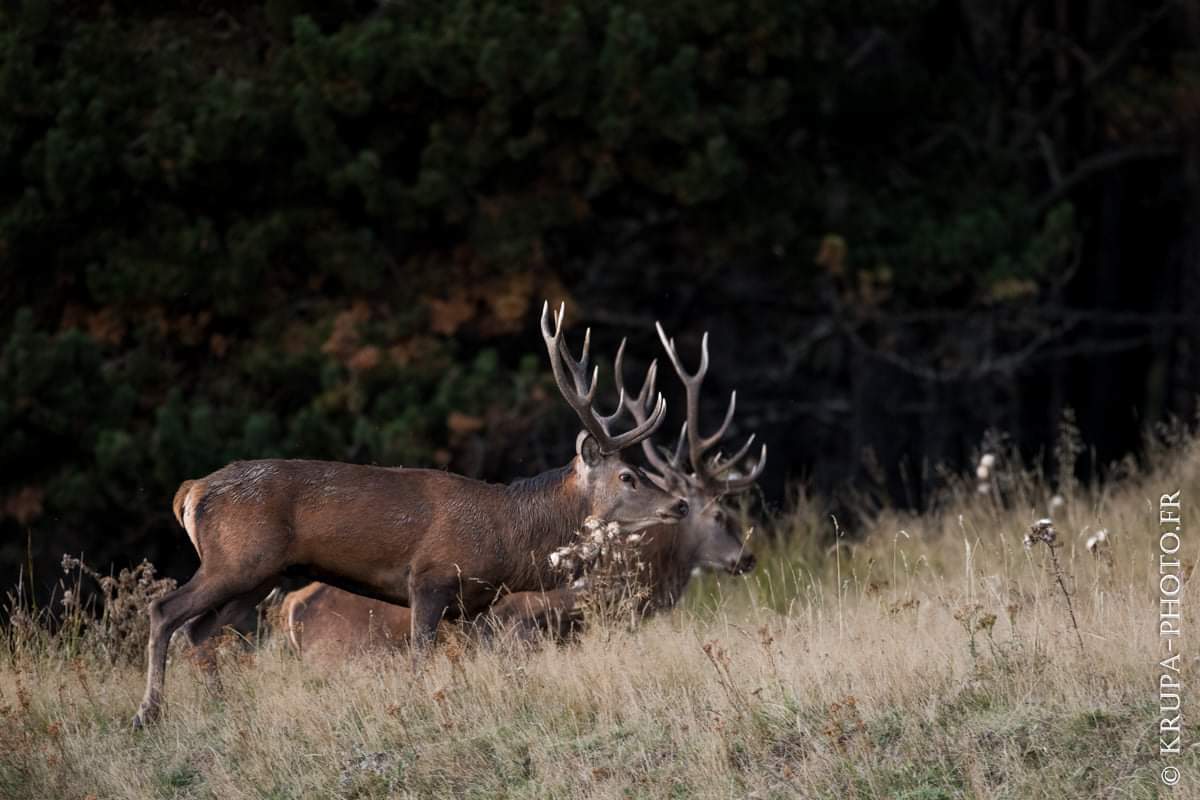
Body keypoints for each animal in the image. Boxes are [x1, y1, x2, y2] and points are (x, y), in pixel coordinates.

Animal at [133, 302, 689, 728]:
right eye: (628, 476)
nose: (680, 503)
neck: (508, 536)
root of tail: (191, 491)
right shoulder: (429, 578)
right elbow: (421, 656)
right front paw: (422, 708)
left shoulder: (477, 604)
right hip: (236, 559)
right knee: (165, 611)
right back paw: (148, 713)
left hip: (260, 574)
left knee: (200, 631)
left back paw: (220, 707)